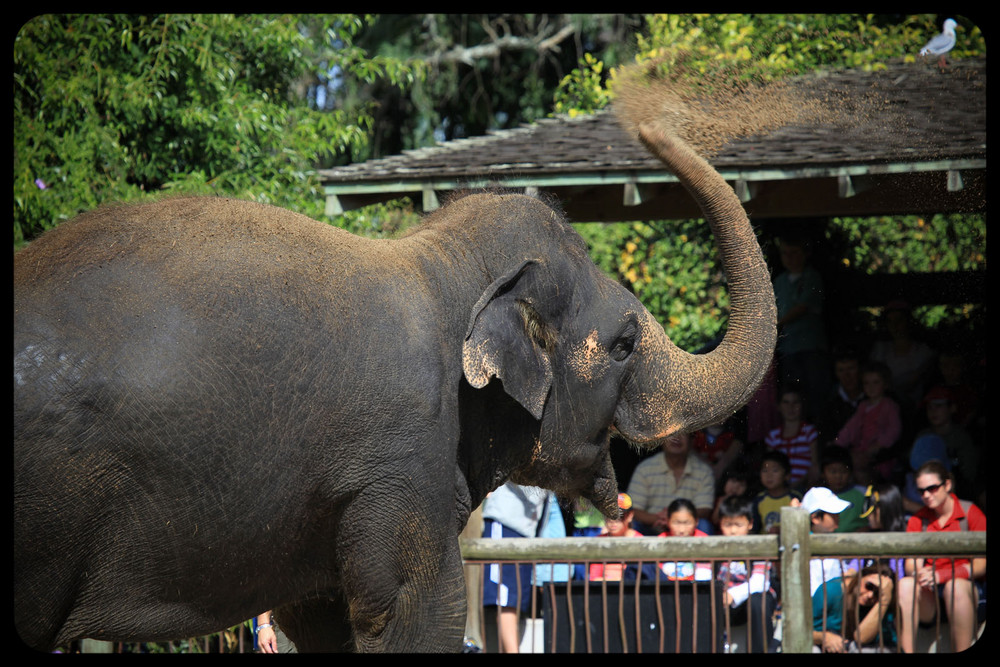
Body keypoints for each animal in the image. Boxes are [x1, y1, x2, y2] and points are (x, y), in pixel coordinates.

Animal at [15, 121, 776, 652]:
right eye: (623, 344)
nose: (642, 122)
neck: (442, 262)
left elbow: (321, 619)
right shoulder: (401, 463)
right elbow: (421, 615)